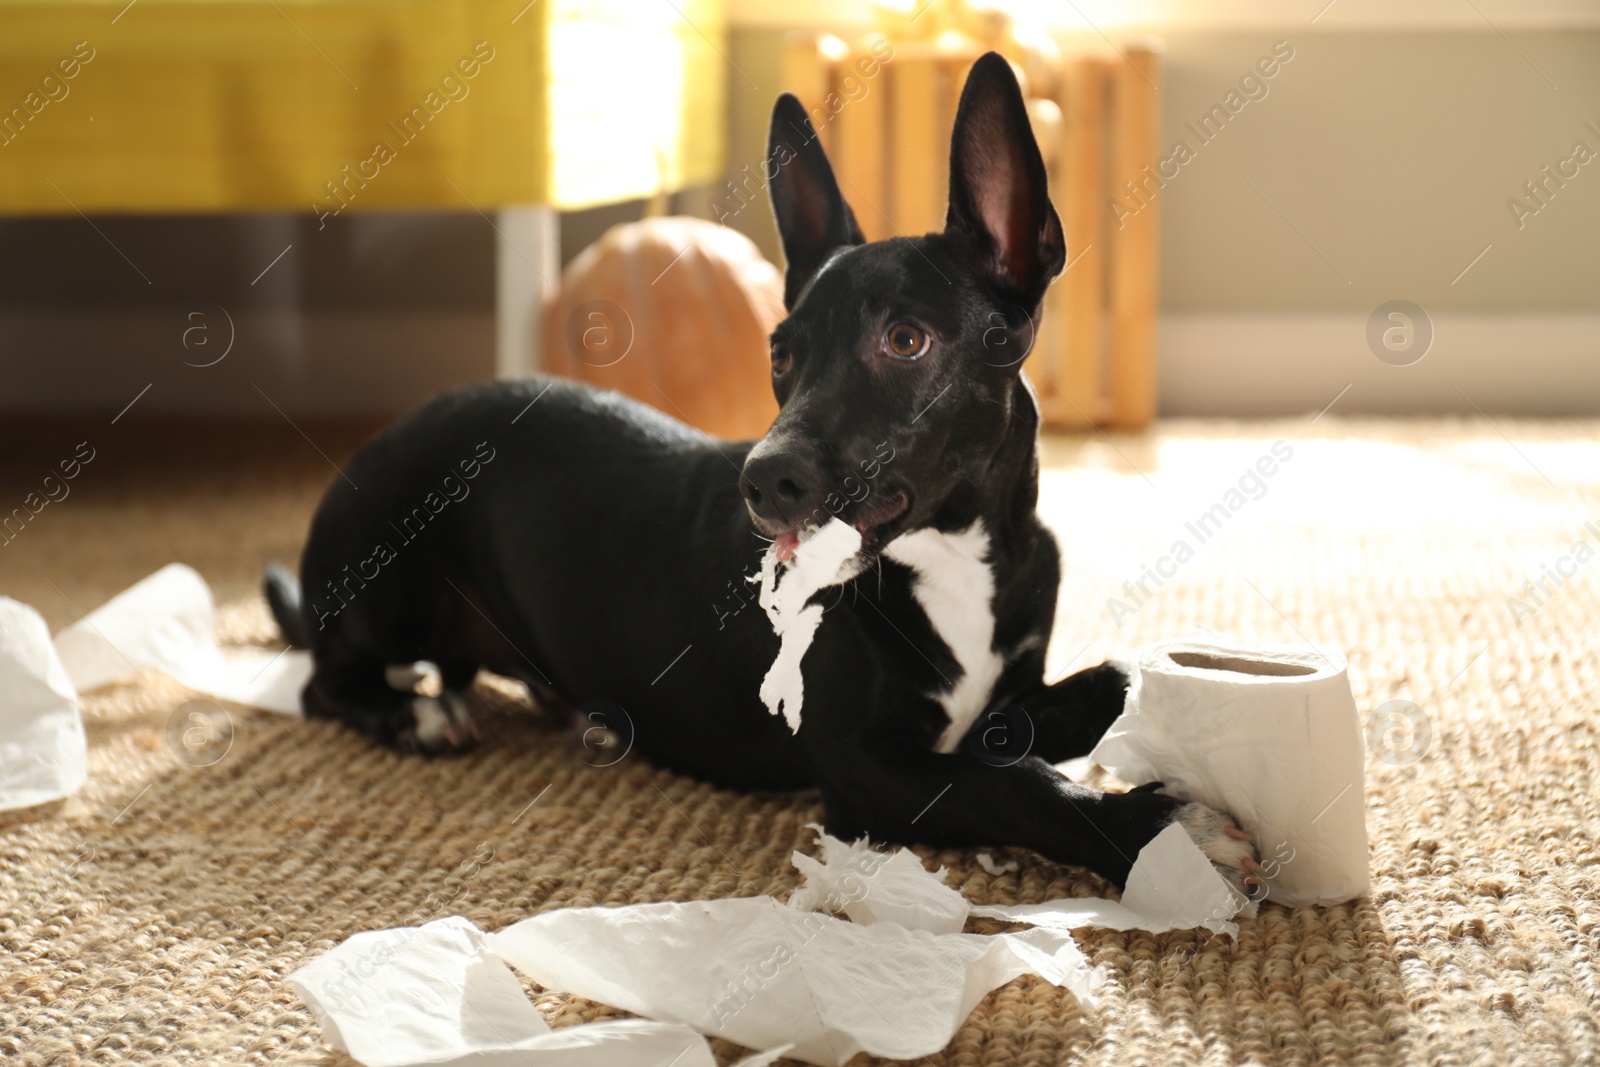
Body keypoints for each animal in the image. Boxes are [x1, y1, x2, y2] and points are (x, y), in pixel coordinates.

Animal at [265, 54, 1260, 889]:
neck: (950, 555)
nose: (763, 480)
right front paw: (1157, 831)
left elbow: (1113, 676)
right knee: (323, 680)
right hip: (386, 585)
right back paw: (413, 712)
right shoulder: (870, 769)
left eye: (906, 340)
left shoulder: (998, 706)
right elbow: (1014, 786)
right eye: (781, 354)